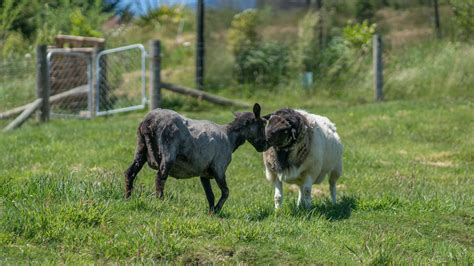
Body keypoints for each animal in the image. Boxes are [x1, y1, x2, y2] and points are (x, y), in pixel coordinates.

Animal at [125, 103, 266, 213]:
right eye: (263, 124)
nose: (264, 145)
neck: (230, 137)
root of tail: (148, 121)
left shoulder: (204, 172)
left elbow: (210, 195)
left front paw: (211, 212)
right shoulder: (219, 167)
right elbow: (226, 192)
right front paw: (217, 209)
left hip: (141, 147)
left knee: (129, 173)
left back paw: (127, 198)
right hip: (168, 151)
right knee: (160, 177)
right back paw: (160, 203)